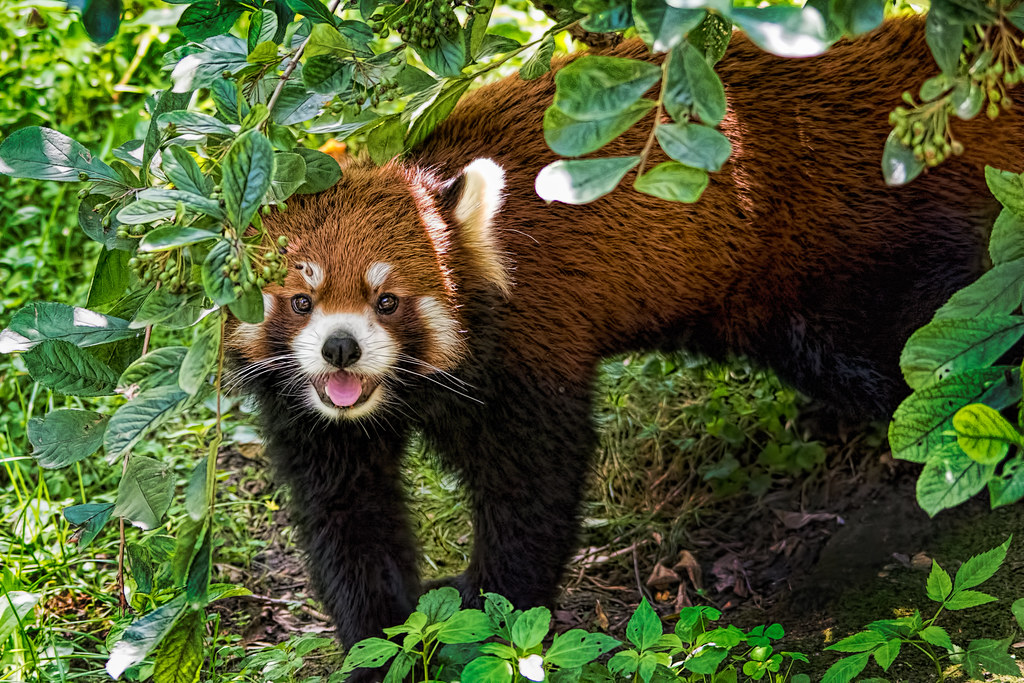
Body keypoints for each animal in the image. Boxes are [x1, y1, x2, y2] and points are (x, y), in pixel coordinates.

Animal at [226, 16, 1024, 658]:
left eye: (387, 300)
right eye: (301, 300)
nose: (342, 348)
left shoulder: (527, 342)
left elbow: (533, 487)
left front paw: (492, 610)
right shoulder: (316, 421)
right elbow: (346, 517)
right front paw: (382, 638)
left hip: (852, 259)